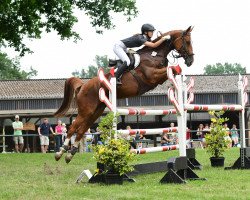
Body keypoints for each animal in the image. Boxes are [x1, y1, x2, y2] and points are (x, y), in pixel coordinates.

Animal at [54, 25, 194, 162]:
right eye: (187, 42)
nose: (191, 61)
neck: (154, 55)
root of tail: (83, 85)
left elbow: (173, 71)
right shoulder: (152, 76)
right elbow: (171, 69)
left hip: (96, 111)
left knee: (82, 129)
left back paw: (70, 154)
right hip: (86, 110)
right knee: (73, 128)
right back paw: (60, 152)